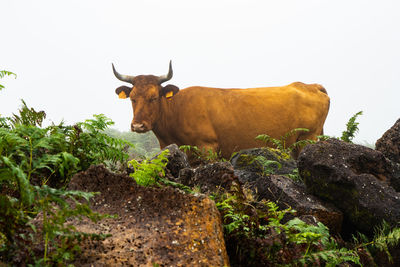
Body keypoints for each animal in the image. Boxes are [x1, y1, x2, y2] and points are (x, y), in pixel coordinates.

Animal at [111, 61, 330, 159]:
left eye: (154, 97)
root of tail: (310, 85)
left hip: (308, 139)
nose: (138, 126)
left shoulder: (207, 147)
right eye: (132, 98)